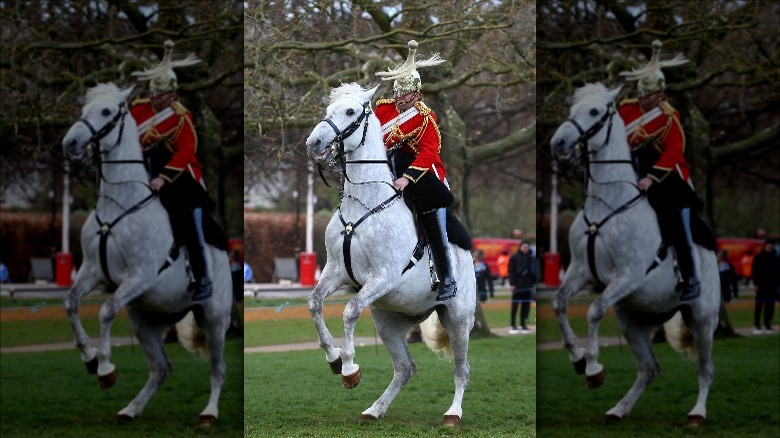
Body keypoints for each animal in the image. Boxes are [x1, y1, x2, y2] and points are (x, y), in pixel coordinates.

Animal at [61, 82, 232, 424]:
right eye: (84, 109)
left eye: (107, 111)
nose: (70, 143)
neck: (118, 205)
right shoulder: (93, 272)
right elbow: (71, 303)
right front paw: (89, 358)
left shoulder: (139, 277)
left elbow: (106, 310)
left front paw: (105, 366)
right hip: (145, 320)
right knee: (161, 368)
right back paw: (132, 408)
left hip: (214, 319)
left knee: (217, 368)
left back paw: (209, 413)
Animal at [306, 84, 478, 426]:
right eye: (328, 109)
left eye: (350, 111)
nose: (314, 142)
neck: (364, 204)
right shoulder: (336, 271)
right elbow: (315, 302)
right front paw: (334, 358)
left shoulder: (382, 276)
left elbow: (350, 311)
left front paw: (349, 368)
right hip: (388, 320)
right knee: (405, 368)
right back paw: (375, 409)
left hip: (458, 319)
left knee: (461, 369)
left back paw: (453, 413)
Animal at [548, 84, 720, 426]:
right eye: (572, 109)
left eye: (595, 112)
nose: (558, 143)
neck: (607, 204)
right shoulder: (581, 271)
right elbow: (559, 303)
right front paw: (577, 358)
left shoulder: (627, 276)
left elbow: (594, 311)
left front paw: (593, 366)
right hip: (633, 320)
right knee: (649, 368)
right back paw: (619, 408)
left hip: (703, 319)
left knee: (705, 369)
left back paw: (697, 413)